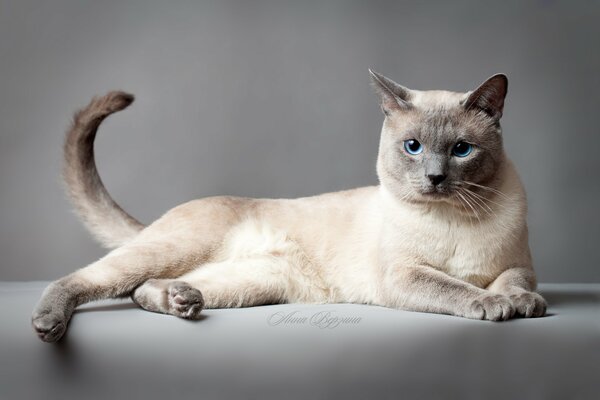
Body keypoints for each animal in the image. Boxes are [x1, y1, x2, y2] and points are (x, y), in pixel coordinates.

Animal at [32, 70, 548, 342]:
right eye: (413, 147)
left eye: (461, 150)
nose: (436, 178)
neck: (455, 219)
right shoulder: (406, 276)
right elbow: (459, 289)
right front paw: (498, 307)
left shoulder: (519, 265)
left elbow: (514, 284)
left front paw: (522, 305)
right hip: (173, 250)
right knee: (86, 279)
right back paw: (48, 325)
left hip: (254, 283)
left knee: (143, 290)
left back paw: (183, 300)